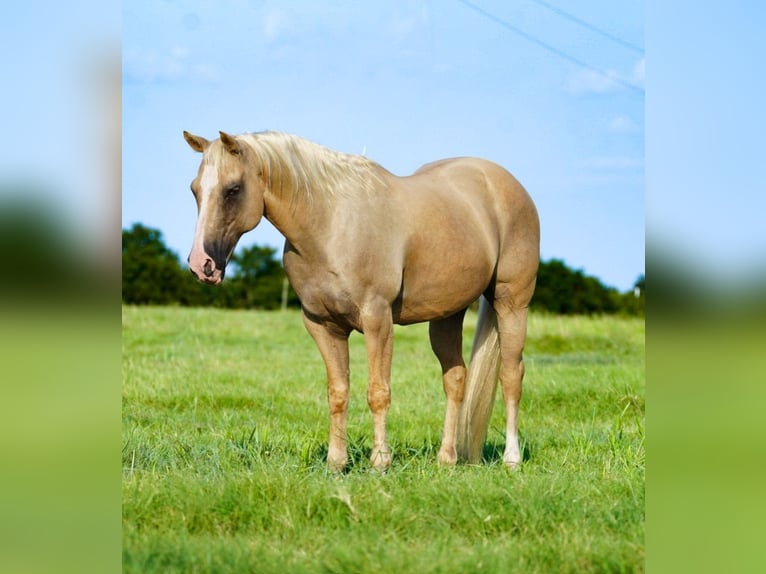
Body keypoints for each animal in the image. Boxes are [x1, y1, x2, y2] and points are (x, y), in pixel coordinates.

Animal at [183, 130, 539, 472]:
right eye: (195, 190)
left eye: (233, 189)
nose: (202, 265)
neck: (330, 225)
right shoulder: (323, 326)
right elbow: (338, 393)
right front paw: (336, 462)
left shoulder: (377, 319)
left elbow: (378, 392)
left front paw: (380, 461)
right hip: (447, 314)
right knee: (455, 379)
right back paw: (446, 459)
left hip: (511, 304)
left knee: (511, 378)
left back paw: (511, 459)